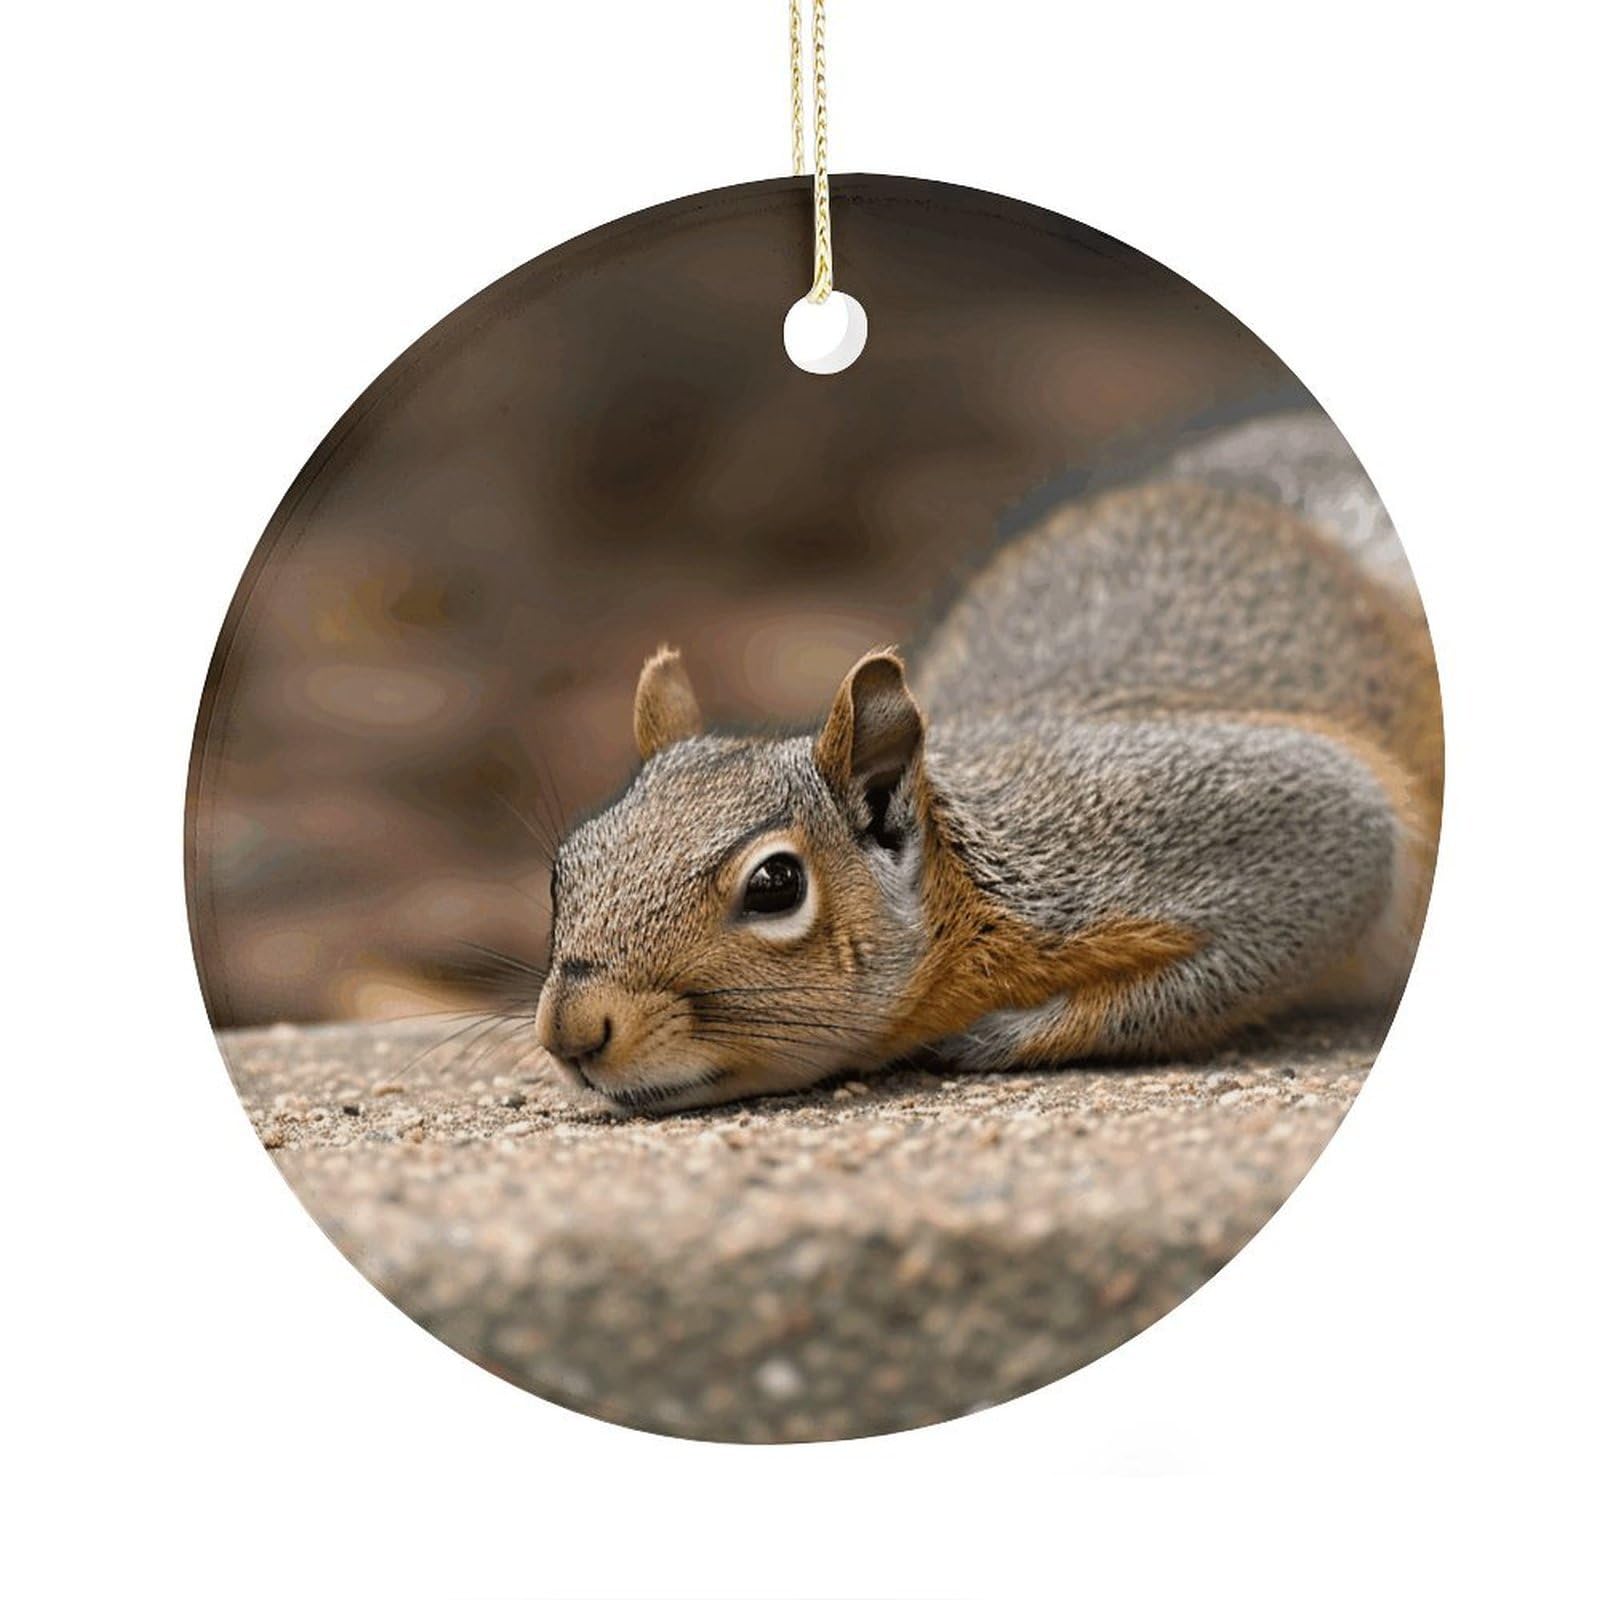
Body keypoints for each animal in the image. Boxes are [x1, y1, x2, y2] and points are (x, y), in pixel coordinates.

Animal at [534, 409, 1442, 1112]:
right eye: (565, 867)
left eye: (776, 885)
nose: (571, 1031)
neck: (972, 885)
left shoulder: (1214, 819)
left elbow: (1314, 889)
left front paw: (996, 1036)